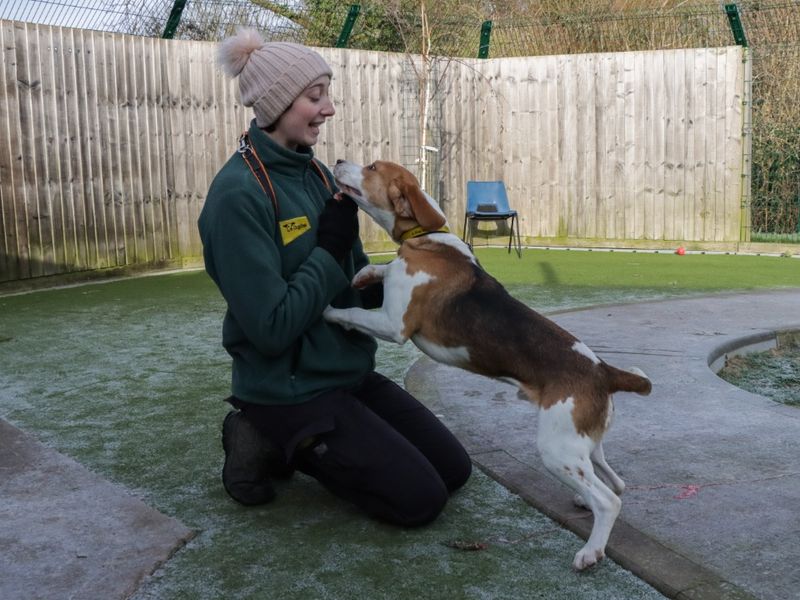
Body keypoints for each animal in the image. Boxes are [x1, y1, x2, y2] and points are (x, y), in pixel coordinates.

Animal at [324, 157, 648, 568]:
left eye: (371, 167)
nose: (337, 161)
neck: (426, 236)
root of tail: (604, 371)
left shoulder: (393, 324)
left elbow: (351, 312)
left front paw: (328, 311)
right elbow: (383, 269)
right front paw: (367, 273)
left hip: (555, 449)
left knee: (609, 500)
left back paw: (590, 551)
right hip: (582, 442)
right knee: (613, 479)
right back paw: (584, 501)